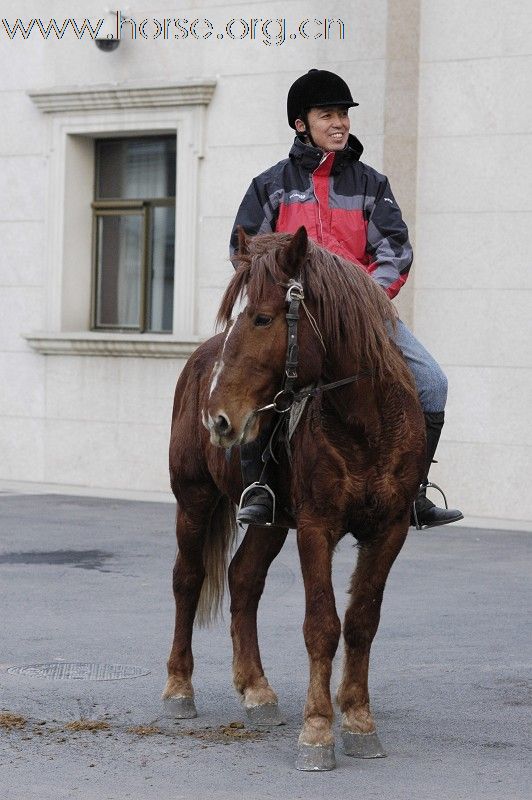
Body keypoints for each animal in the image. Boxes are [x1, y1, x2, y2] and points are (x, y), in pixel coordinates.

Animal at [164, 225, 426, 768]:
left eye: (263, 318)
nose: (218, 417)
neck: (363, 422)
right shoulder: (315, 527)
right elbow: (322, 625)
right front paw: (319, 730)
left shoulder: (388, 530)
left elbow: (362, 620)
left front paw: (359, 720)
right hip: (194, 498)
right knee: (188, 578)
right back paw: (179, 688)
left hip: (271, 521)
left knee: (243, 579)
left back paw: (256, 690)